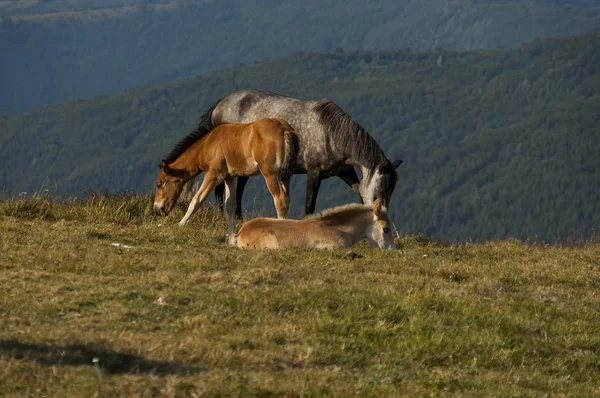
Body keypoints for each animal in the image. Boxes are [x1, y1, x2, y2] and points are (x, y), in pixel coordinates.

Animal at [152, 116, 298, 233]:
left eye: (159, 184)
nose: (157, 209)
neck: (208, 143)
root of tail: (284, 129)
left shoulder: (213, 175)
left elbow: (196, 200)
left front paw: (181, 225)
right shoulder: (230, 177)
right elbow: (230, 205)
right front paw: (231, 234)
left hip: (270, 174)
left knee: (280, 199)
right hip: (285, 177)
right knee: (287, 199)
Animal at [173, 88, 404, 218]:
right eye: (380, 190)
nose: (382, 215)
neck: (330, 132)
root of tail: (220, 104)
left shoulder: (345, 171)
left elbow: (358, 193)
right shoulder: (314, 172)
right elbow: (310, 204)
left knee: (237, 190)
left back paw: (238, 218)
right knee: (221, 189)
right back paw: (223, 217)